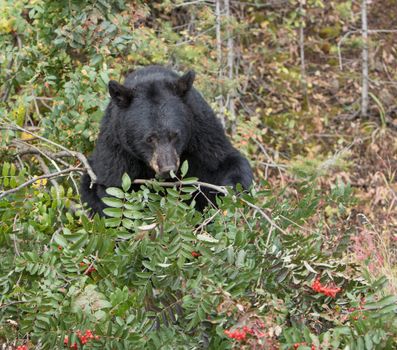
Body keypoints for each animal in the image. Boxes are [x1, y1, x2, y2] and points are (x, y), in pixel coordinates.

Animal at [80, 65, 252, 213]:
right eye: (149, 139)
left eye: (175, 135)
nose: (167, 168)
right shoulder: (117, 147)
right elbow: (114, 187)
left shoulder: (201, 128)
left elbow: (223, 160)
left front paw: (232, 190)